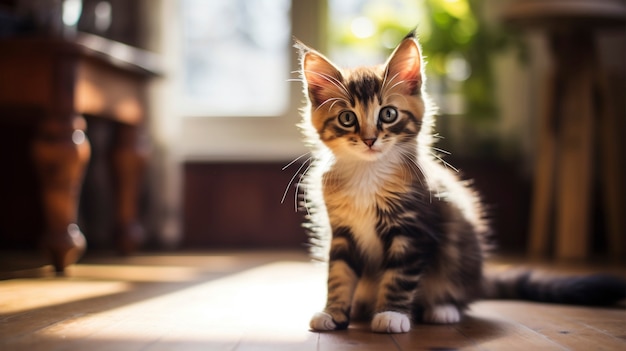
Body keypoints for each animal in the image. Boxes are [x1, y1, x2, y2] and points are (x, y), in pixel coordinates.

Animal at [294, 30, 624, 336]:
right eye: (347, 118)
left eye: (388, 114)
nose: (369, 140)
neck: (368, 172)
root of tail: (479, 279)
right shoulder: (342, 232)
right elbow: (339, 274)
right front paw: (333, 312)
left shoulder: (413, 229)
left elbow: (399, 276)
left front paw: (391, 314)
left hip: (460, 244)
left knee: (456, 293)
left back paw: (442, 308)